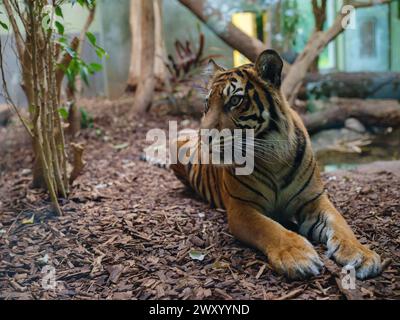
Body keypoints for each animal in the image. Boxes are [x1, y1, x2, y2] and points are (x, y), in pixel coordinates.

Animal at [147, 49, 382, 280]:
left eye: (235, 100)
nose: (203, 136)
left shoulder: (314, 199)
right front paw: (298, 256)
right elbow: (270, 228)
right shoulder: (242, 208)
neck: (274, 157)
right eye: (207, 104)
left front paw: (361, 254)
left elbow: (340, 223)